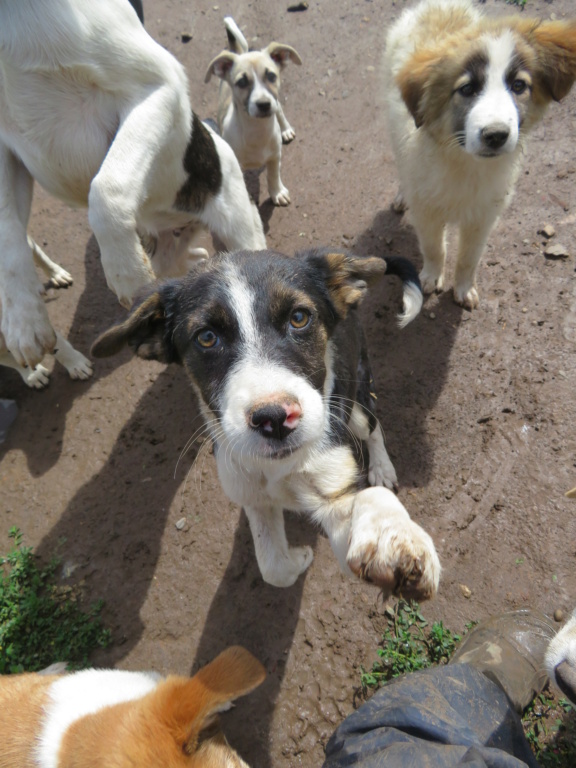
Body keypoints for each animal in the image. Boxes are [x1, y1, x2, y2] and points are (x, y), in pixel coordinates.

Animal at [0, 0, 266, 372]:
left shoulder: (157, 87)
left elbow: (106, 188)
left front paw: (125, 271)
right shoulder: (6, 151)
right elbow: (8, 237)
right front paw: (23, 320)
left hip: (237, 227)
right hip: (167, 252)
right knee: (185, 262)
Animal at [92, 248, 438, 600]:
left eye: (299, 317)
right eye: (207, 337)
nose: (274, 419)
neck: (279, 467)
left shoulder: (332, 487)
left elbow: (367, 499)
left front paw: (391, 535)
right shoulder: (251, 495)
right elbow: (272, 566)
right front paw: (298, 558)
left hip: (356, 399)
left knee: (373, 425)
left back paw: (382, 468)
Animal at [205, 16, 302, 206]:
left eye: (271, 76)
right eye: (242, 82)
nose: (263, 104)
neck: (257, 131)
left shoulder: (275, 156)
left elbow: (273, 175)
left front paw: (277, 192)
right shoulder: (238, 166)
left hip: (277, 103)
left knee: (280, 110)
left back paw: (286, 129)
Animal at [382, 0, 576, 312]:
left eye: (518, 85)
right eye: (467, 89)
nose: (496, 135)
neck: (464, 161)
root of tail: (440, 5)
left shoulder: (484, 215)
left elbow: (468, 258)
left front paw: (463, 289)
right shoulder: (426, 210)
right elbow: (434, 248)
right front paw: (431, 277)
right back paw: (401, 196)